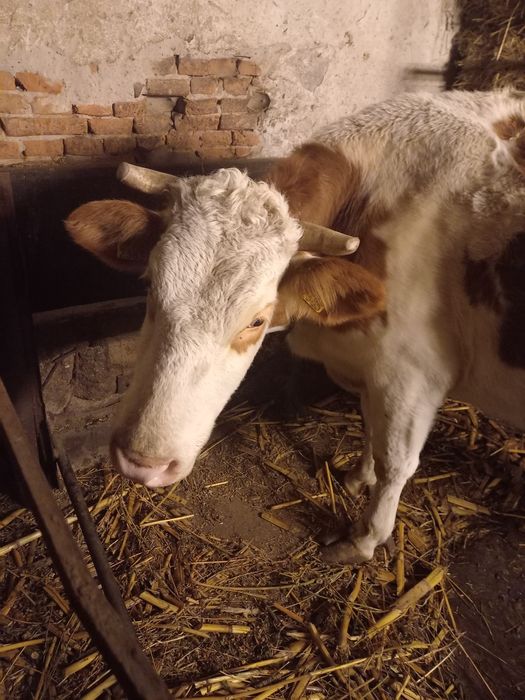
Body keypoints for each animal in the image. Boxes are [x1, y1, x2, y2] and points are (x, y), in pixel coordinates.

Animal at [65, 89, 525, 564]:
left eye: (257, 319)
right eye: (152, 285)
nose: (143, 462)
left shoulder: (414, 373)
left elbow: (396, 461)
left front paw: (364, 539)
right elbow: (371, 428)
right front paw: (359, 477)